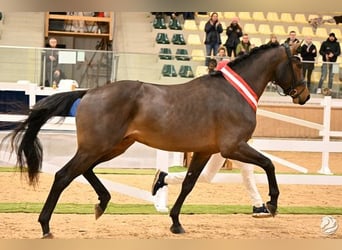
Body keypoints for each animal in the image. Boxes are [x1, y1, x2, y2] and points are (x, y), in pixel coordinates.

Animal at [1, 42, 310, 237]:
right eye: (297, 63)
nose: (304, 95)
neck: (233, 91)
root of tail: (89, 92)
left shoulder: (205, 151)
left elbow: (188, 184)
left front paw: (175, 222)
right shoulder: (233, 147)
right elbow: (269, 164)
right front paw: (272, 204)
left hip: (112, 146)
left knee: (84, 170)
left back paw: (102, 202)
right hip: (98, 146)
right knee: (64, 175)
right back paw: (45, 226)